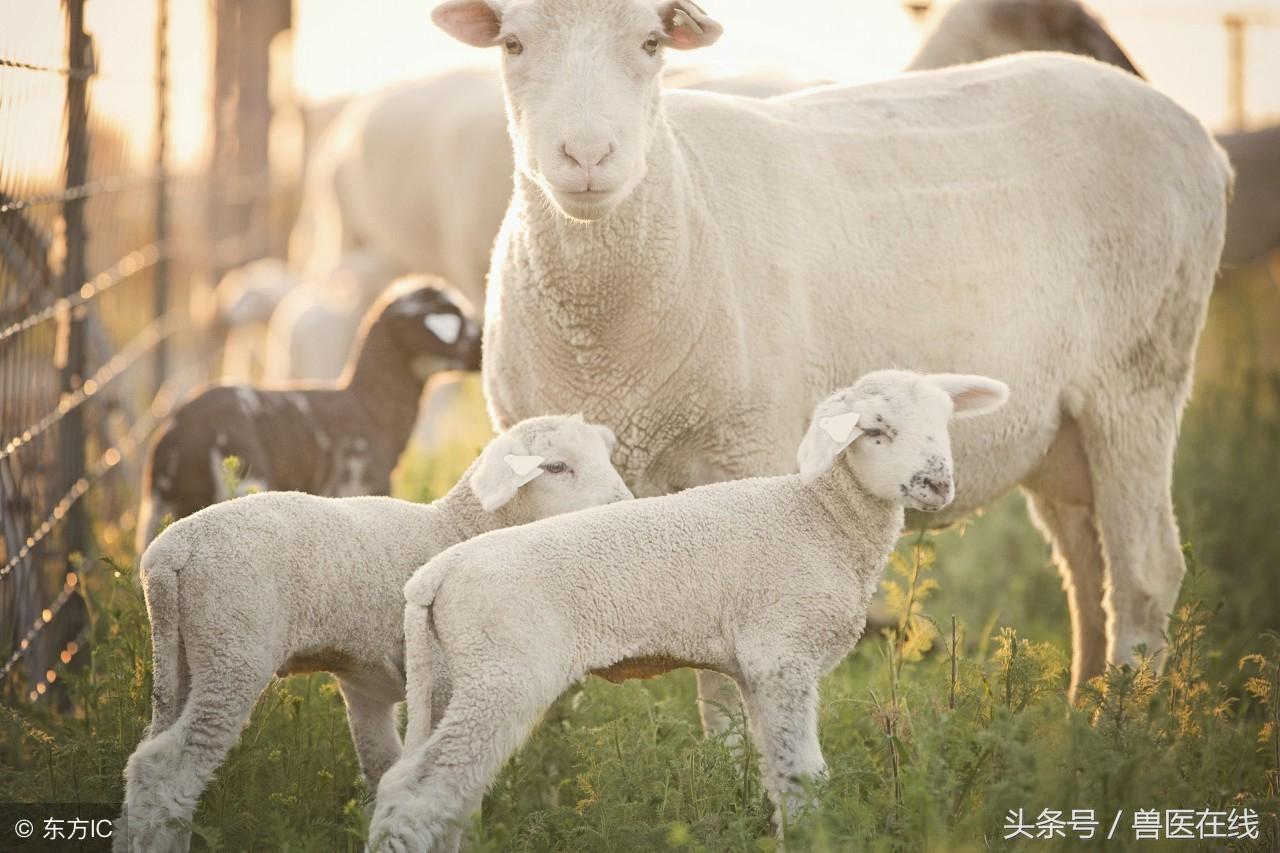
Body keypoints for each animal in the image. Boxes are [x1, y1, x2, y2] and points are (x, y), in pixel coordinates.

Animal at [115, 412, 629, 850]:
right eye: (556, 467)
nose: (623, 508)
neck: (457, 528)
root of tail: (169, 554)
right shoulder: (446, 684)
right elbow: (453, 797)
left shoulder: (367, 687)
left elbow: (384, 772)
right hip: (232, 646)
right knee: (165, 770)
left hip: (182, 655)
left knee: (146, 760)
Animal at [136, 275, 481, 548]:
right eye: (457, 318)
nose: (483, 348)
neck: (369, 406)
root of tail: (185, 436)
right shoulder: (358, 486)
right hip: (245, 484)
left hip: (159, 508)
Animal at [368, 368, 1008, 845]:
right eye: (875, 431)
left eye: (944, 425)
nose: (936, 484)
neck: (821, 519)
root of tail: (437, 574)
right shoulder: (783, 655)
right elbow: (804, 777)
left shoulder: (757, 668)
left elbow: (776, 772)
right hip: (501, 675)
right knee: (421, 795)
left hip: (448, 678)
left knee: (419, 788)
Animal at [435, 0, 1233, 712]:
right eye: (512, 44)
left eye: (652, 42)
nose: (587, 157)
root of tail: (1198, 135)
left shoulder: (745, 450)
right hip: (1059, 429)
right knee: (1087, 569)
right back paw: (1077, 721)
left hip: (1139, 374)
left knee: (1145, 568)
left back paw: (1119, 734)